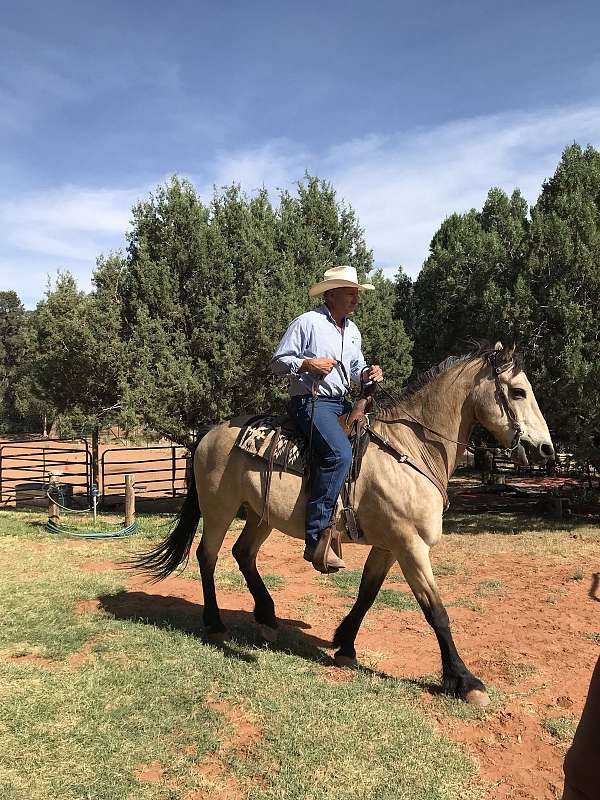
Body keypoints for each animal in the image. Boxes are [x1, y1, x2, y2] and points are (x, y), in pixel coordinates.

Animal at [134, 340, 556, 704]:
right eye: (518, 392)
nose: (545, 449)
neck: (411, 451)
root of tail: (209, 433)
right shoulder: (410, 545)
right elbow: (436, 611)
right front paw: (464, 680)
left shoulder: (389, 545)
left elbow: (367, 593)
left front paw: (345, 645)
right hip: (219, 510)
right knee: (208, 556)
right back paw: (215, 622)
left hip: (260, 515)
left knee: (243, 553)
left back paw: (267, 616)